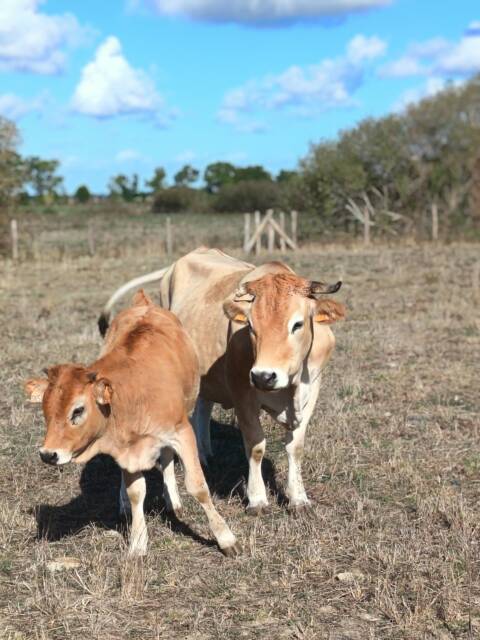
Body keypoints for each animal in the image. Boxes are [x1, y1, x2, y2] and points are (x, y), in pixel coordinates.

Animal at [25, 290, 240, 557]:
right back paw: (125, 504)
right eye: (45, 410)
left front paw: (226, 538)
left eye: (78, 410)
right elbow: (136, 492)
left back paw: (173, 500)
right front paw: (138, 542)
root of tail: (143, 303)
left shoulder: (182, 432)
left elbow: (198, 486)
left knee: (167, 457)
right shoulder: (127, 450)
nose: (48, 454)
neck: (133, 395)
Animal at [99, 248, 346, 515]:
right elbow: (256, 446)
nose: (264, 376)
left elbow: (295, 446)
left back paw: (204, 454)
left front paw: (298, 497)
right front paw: (257, 499)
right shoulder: (243, 393)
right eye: (251, 326)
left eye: (297, 324)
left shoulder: (312, 390)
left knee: (203, 406)